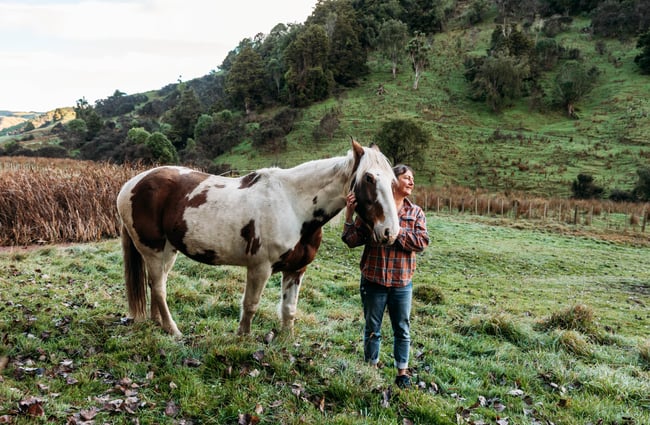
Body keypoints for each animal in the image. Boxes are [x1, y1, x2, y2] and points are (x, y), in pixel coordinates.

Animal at [116, 139, 399, 337]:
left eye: (394, 180)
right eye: (369, 177)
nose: (391, 232)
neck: (293, 204)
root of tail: (131, 184)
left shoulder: (296, 270)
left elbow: (289, 310)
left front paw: (287, 343)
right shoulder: (259, 268)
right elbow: (251, 305)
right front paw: (242, 339)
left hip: (168, 251)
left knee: (156, 285)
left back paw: (159, 324)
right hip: (152, 250)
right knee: (159, 287)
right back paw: (173, 330)